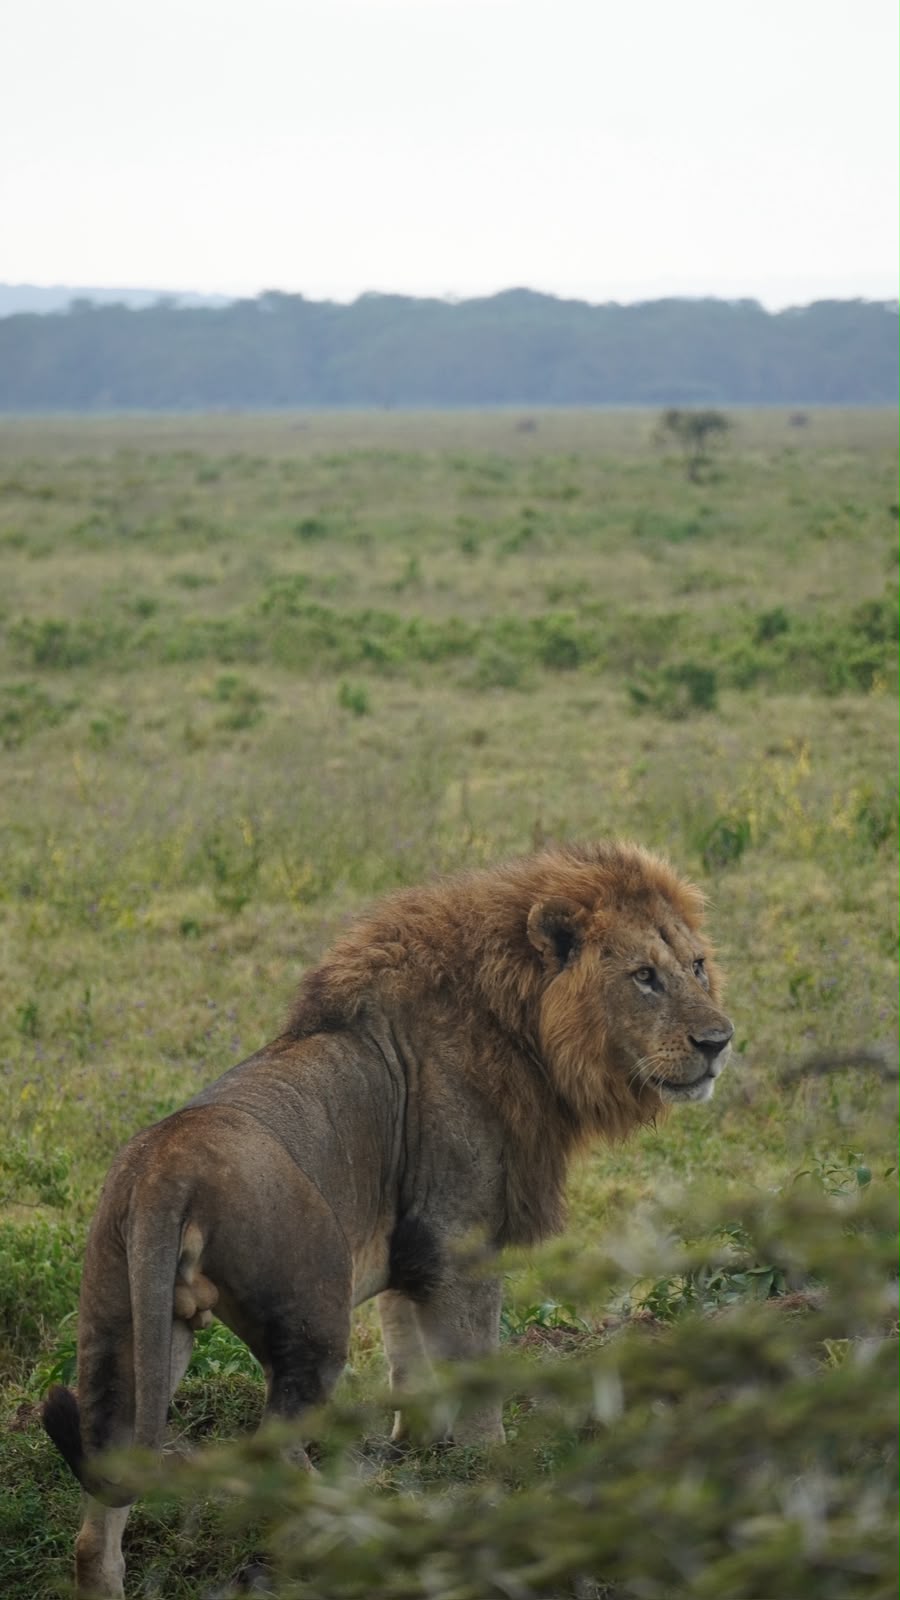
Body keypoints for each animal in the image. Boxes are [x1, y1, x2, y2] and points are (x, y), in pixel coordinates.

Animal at [43, 841, 732, 1599]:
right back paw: (350, 1522)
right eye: (644, 977)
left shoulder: (408, 1250)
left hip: (127, 1325)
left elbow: (408, 1358)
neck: (523, 1026)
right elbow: (475, 1373)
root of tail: (166, 1171)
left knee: (102, 1499)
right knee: (274, 1448)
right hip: (311, 1317)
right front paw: (494, 1476)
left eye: (697, 965)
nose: (719, 1041)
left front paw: (416, 1449)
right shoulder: (459, 1244)